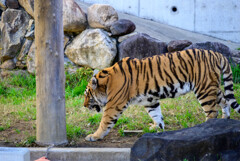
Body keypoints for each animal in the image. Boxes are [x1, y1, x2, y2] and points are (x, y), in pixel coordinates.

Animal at [83, 48, 240, 141]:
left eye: (87, 95)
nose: (84, 106)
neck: (107, 82)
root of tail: (217, 54)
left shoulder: (114, 105)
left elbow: (105, 122)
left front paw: (94, 136)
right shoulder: (150, 100)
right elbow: (156, 115)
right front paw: (156, 129)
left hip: (204, 89)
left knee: (212, 112)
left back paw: (205, 129)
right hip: (212, 87)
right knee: (225, 101)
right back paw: (225, 120)